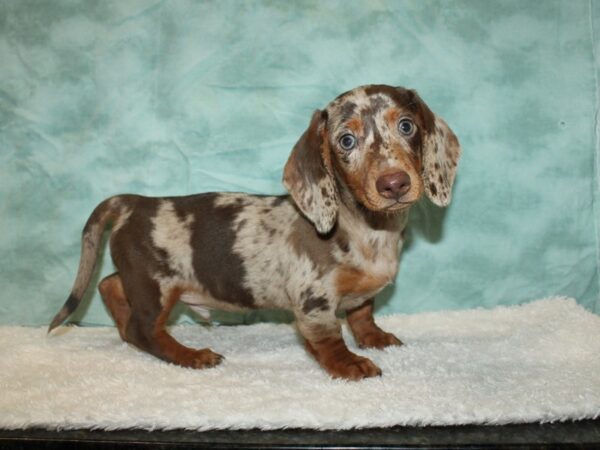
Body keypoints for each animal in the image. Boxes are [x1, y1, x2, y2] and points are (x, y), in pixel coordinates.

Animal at [49, 84, 460, 380]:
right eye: (347, 140)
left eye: (406, 125)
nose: (394, 184)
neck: (366, 227)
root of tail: (132, 203)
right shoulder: (314, 300)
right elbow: (329, 338)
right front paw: (349, 364)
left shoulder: (359, 295)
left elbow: (362, 314)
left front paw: (375, 338)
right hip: (156, 285)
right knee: (143, 329)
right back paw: (190, 355)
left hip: (141, 278)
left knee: (110, 286)